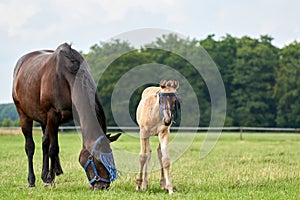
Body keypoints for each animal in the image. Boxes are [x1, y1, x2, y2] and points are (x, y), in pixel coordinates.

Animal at [12, 43, 120, 190]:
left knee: (44, 143)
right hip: (24, 115)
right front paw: (49, 180)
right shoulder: (53, 116)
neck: (65, 77)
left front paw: (48, 177)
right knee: (30, 147)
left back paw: (45, 174)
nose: (103, 186)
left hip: (44, 120)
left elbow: (49, 147)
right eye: (96, 158)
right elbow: (53, 149)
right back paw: (32, 181)